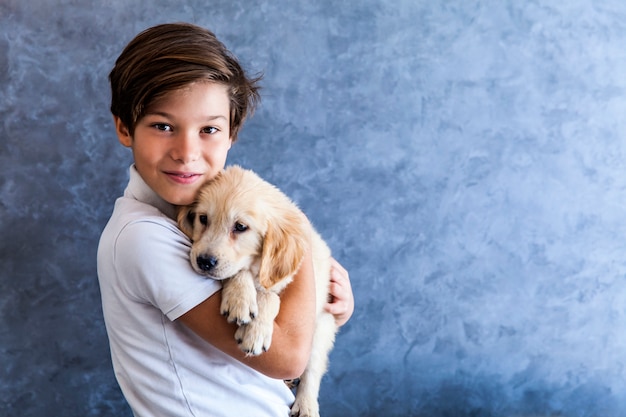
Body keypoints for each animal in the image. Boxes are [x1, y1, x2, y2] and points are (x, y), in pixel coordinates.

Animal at [177, 164, 336, 416]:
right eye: (203, 218)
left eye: (240, 227)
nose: (204, 262)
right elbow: (239, 273)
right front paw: (240, 299)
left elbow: (271, 297)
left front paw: (255, 332)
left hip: (322, 324)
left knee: (313, 368)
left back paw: (306, 405)